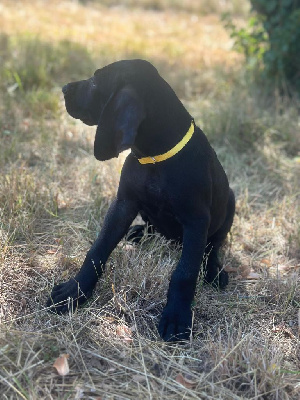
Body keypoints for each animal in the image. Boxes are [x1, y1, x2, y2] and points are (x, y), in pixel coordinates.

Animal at [47, 58, 236, 340]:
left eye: (95, 82)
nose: (64, 88)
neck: (155, 158)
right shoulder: (123, 204)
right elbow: (97, 249)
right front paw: (75, 290)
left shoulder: (196, 221)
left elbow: (186, 271)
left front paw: (176, 316)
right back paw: (139, 233)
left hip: (230, 204)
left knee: (213, 246)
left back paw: (214, 271)